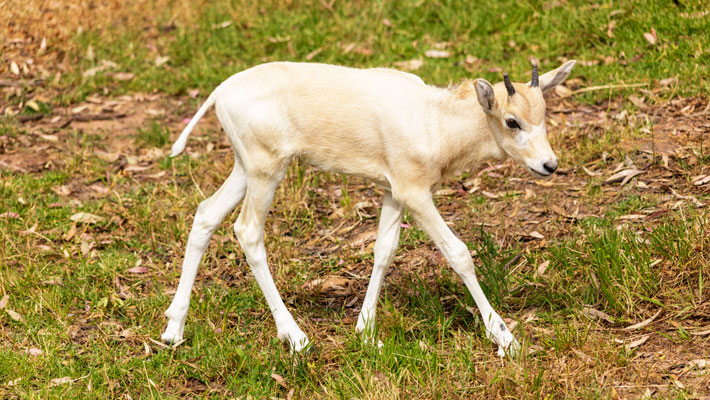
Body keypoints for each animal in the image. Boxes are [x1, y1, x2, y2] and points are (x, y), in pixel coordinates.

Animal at [163, 61, 580, 358]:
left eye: (543, 114)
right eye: (512, 121)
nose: (549, 165)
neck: (431, 118)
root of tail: (221, 91)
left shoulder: (394, 192)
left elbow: (384, 251)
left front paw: (365, 332)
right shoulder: (415, 194)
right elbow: (458, 253)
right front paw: (504, 338)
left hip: (244, 168)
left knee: (206, 214)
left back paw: (173, 331)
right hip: (267, 170)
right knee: (248, 231)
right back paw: (296, 338)